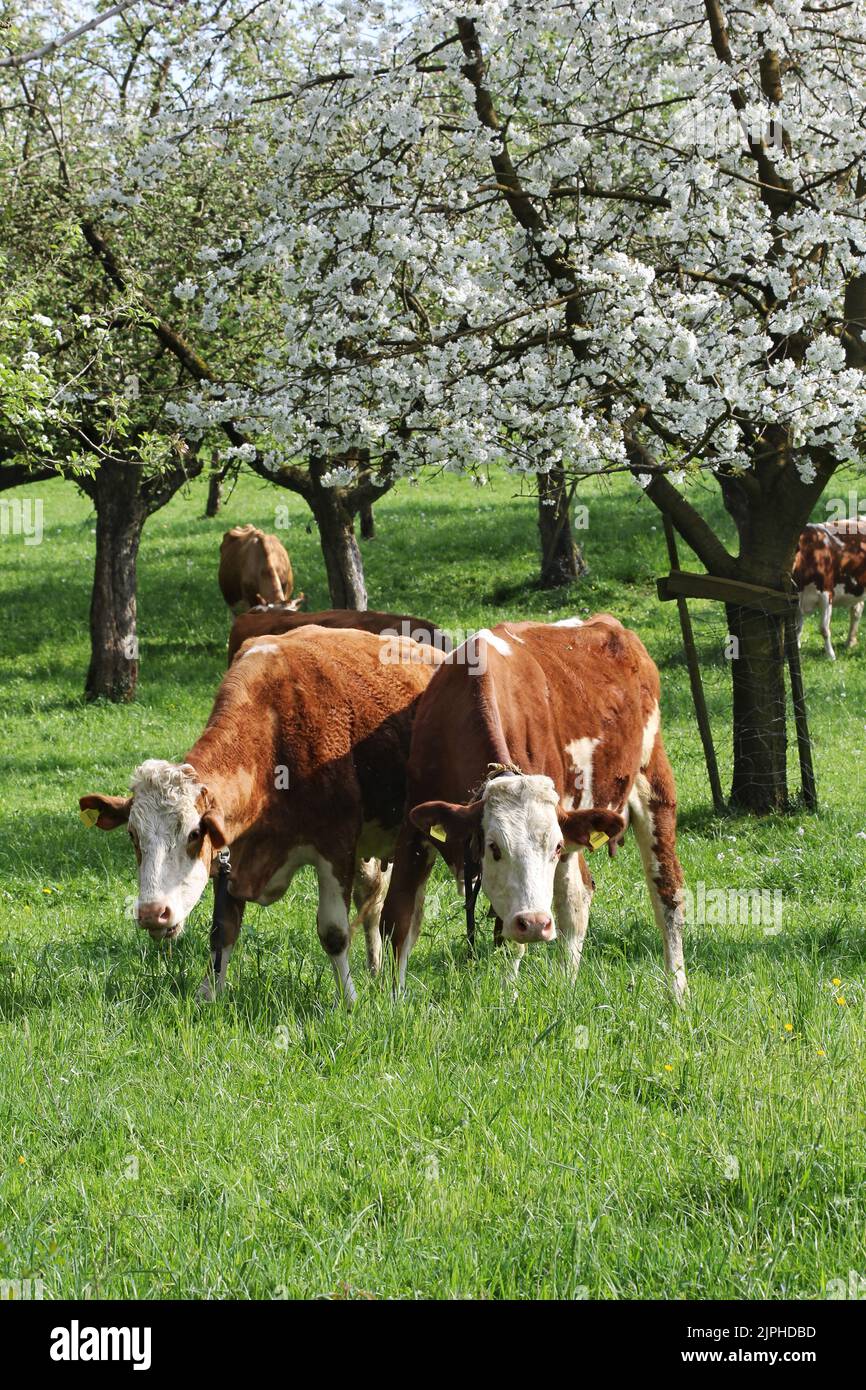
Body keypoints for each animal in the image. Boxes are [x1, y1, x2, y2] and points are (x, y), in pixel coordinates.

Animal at [81, 625, 444, 1006]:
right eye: (132, 835)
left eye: (193, 834)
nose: (153, 913)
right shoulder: (232, 850)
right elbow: (222, 929)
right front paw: (209, 995)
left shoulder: (336, 846)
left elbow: (334, 932)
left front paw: (349, 1000)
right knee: (374, 899)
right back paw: (376, 970)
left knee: (405, 914)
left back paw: (396, 988)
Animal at [380, 617, 692, 1000]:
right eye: (494, 847)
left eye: (554, 847)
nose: (535, 923)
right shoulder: (414, 825)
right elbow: (398, 919)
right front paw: (391, 1001)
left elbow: (511, 944)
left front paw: (506, 1000)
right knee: (577, 897)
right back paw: (566, 985)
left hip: (652, 782)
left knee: (666, 896)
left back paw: (677, 991)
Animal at [795, 519, 866, 658]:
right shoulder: (797, 598)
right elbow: (797, 628)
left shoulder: (826, 594)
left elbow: (824, 628)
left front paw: (831, 655)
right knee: (856, 610)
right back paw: (850, 642)